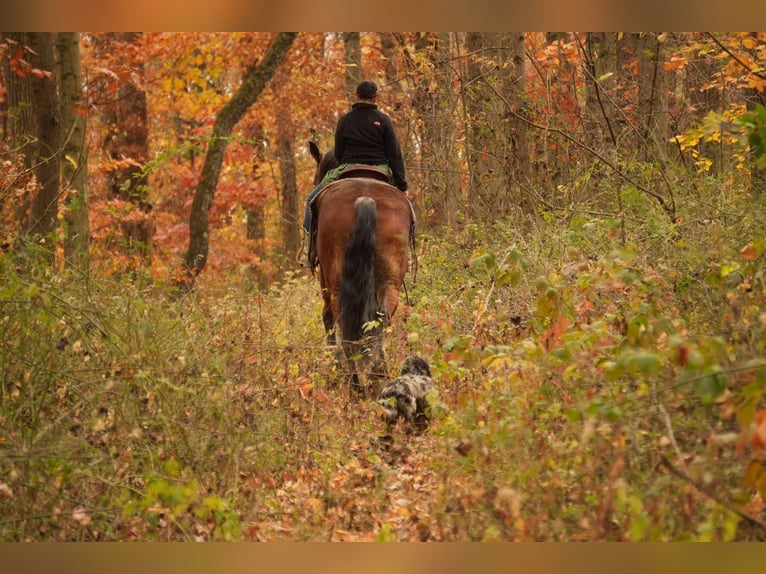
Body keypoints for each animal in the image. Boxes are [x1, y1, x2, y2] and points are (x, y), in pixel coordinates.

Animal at [308, 142, 416, 398]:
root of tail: (365, 198)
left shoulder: (325, 281)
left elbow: (327, 318)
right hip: (389, 282)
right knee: (380, 320)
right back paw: (379, 378)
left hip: (338, 284)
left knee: (342, 321)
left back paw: (355, 385)